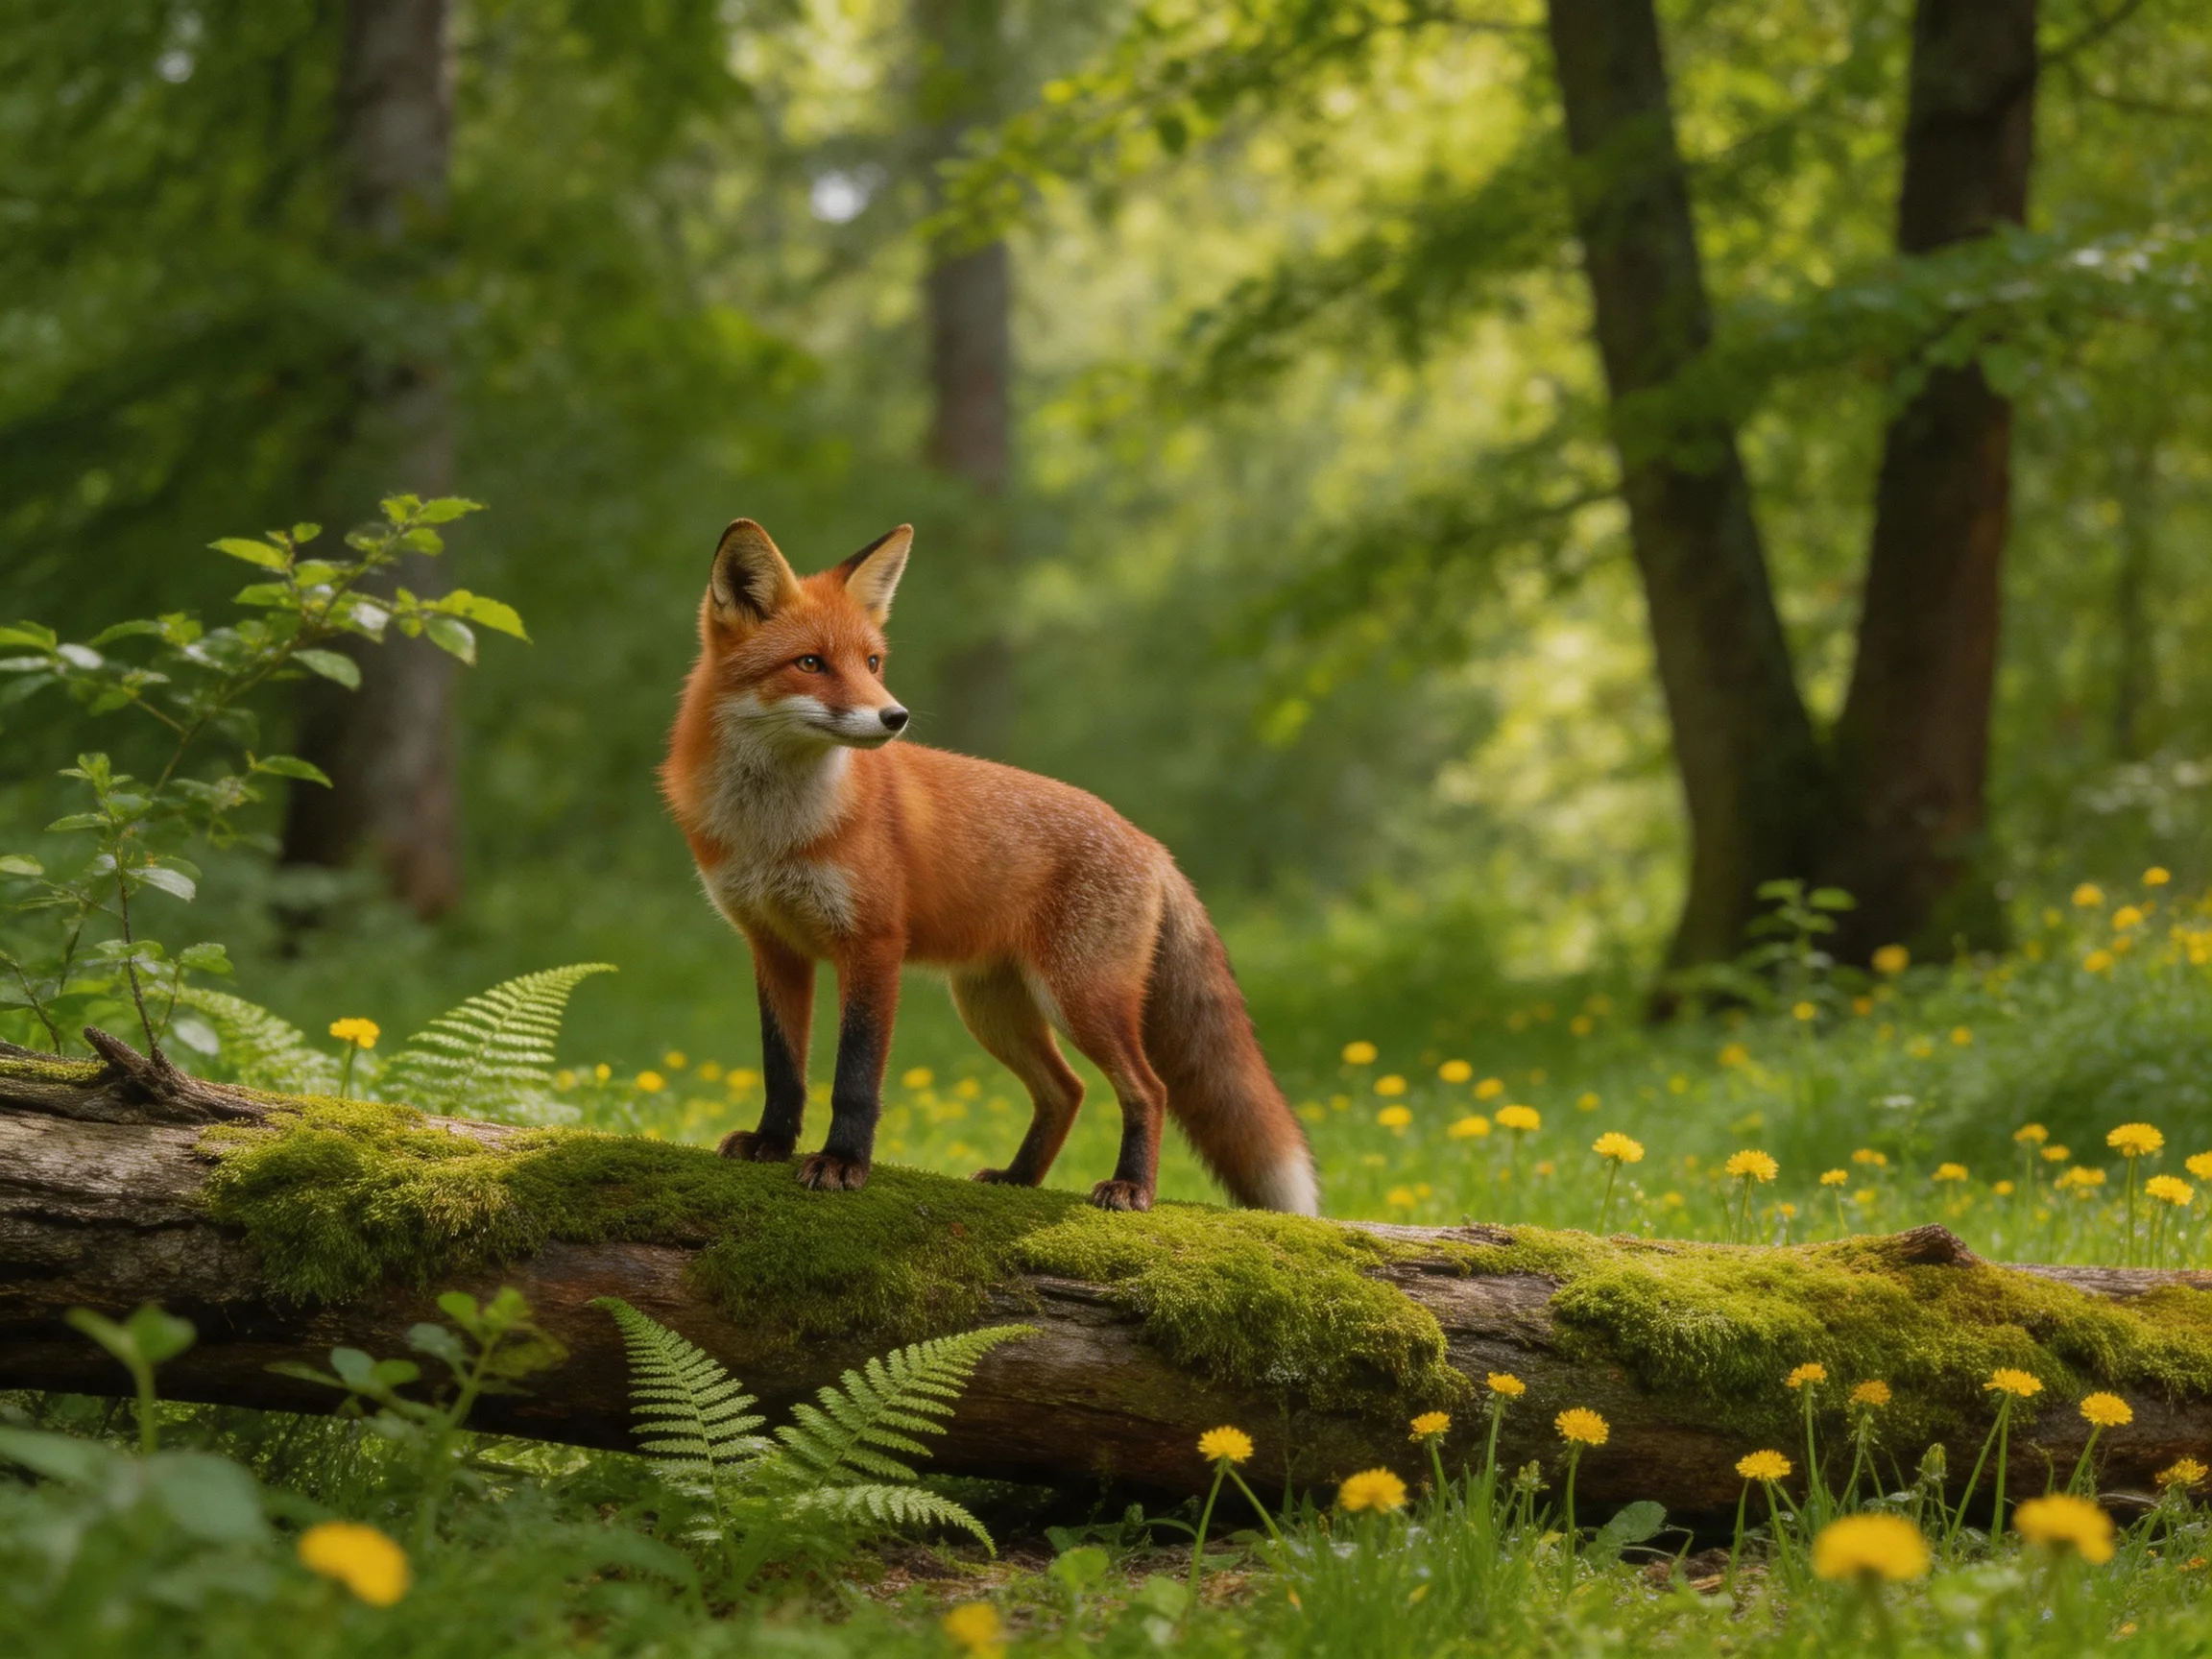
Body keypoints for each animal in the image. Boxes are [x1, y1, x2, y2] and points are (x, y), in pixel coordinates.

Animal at [660, 517, 1318, 1215]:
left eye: (872, 663)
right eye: (810, 663)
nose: (895, 716)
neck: (776, 831)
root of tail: (1150, 844)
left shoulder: (872, 945)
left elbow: (855, 1078)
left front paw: (843, 1162)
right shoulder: (774, 946)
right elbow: (782, 1068)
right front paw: (772, 1143)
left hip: (1079, 998)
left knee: (1148, 1087)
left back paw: (1132, 1186)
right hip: (993, 1009)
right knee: (1067, 1091)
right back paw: (1018, 1178)